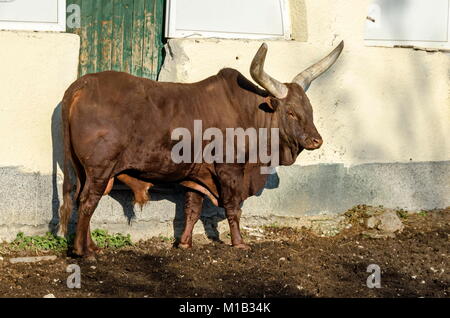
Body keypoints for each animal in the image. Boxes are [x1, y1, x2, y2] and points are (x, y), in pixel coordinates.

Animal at [58, 40, 342, 258]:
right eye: (291, 112)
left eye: (309, 109)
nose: (316, 140)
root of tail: (81, 85)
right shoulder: (230, 169)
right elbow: (233, 207)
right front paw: (239, 243)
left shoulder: (197, 175)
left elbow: (192, 209)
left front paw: (184, 243)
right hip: (99, 168)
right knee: (87, 202)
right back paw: (84, 251)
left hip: (89, 171)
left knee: (84, 201)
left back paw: (91, 246)